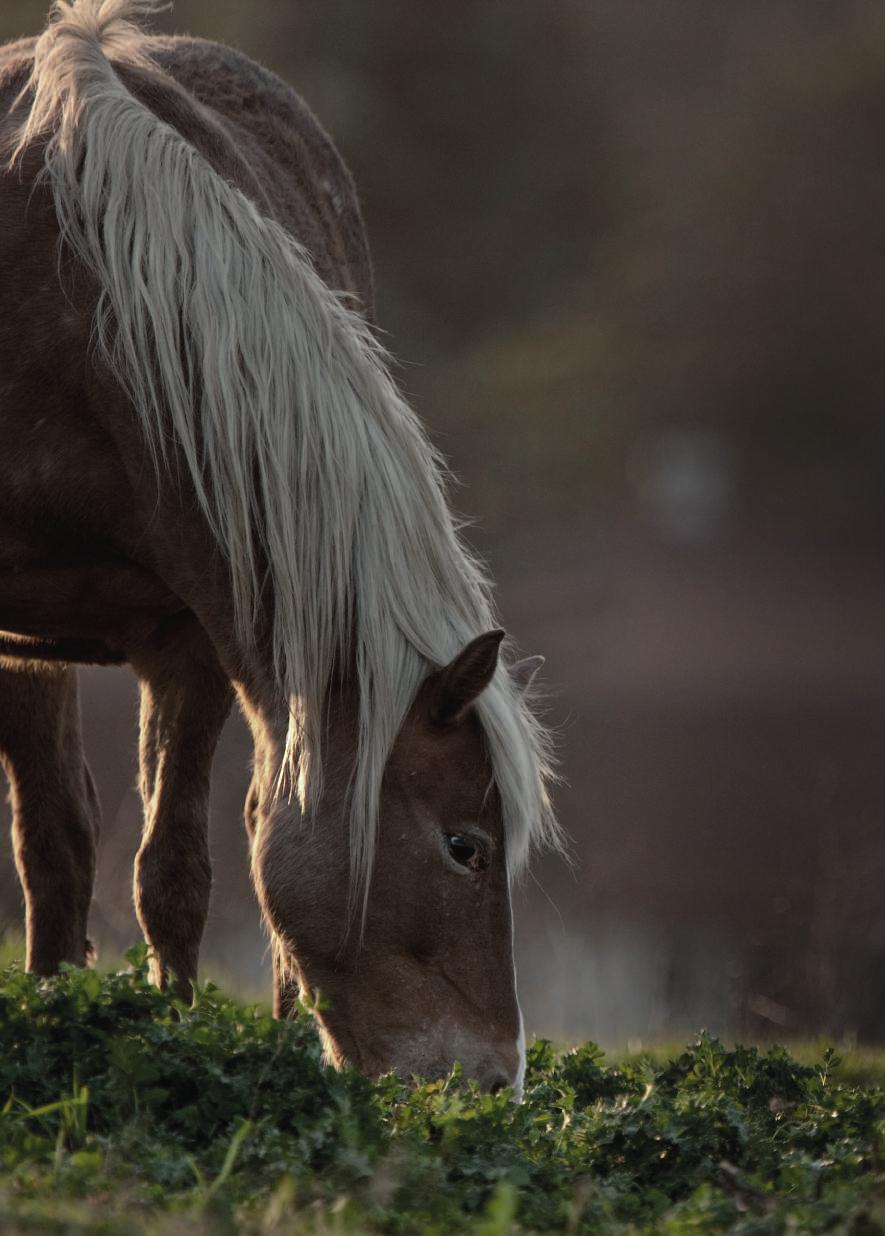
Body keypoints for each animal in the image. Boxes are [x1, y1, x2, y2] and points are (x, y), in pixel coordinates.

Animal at [0, 0, 556, 1092]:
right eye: (464, 846)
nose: (490, 1080)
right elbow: (56, 849)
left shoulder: (193, 635)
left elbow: (174, 871)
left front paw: (175, 1038)